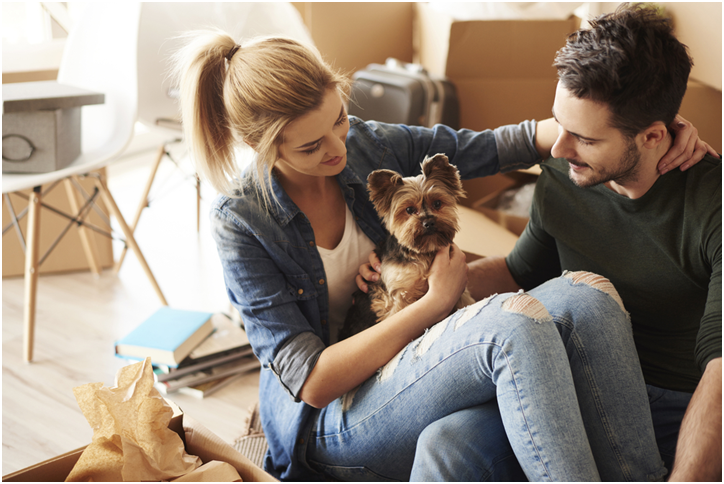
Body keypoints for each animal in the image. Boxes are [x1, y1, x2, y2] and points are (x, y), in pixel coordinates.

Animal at [340, 153, 476, 338]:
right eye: (410, 210)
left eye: (437, 204)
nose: (429, 222)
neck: (423, 252)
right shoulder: (399, 295)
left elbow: (465, 300)